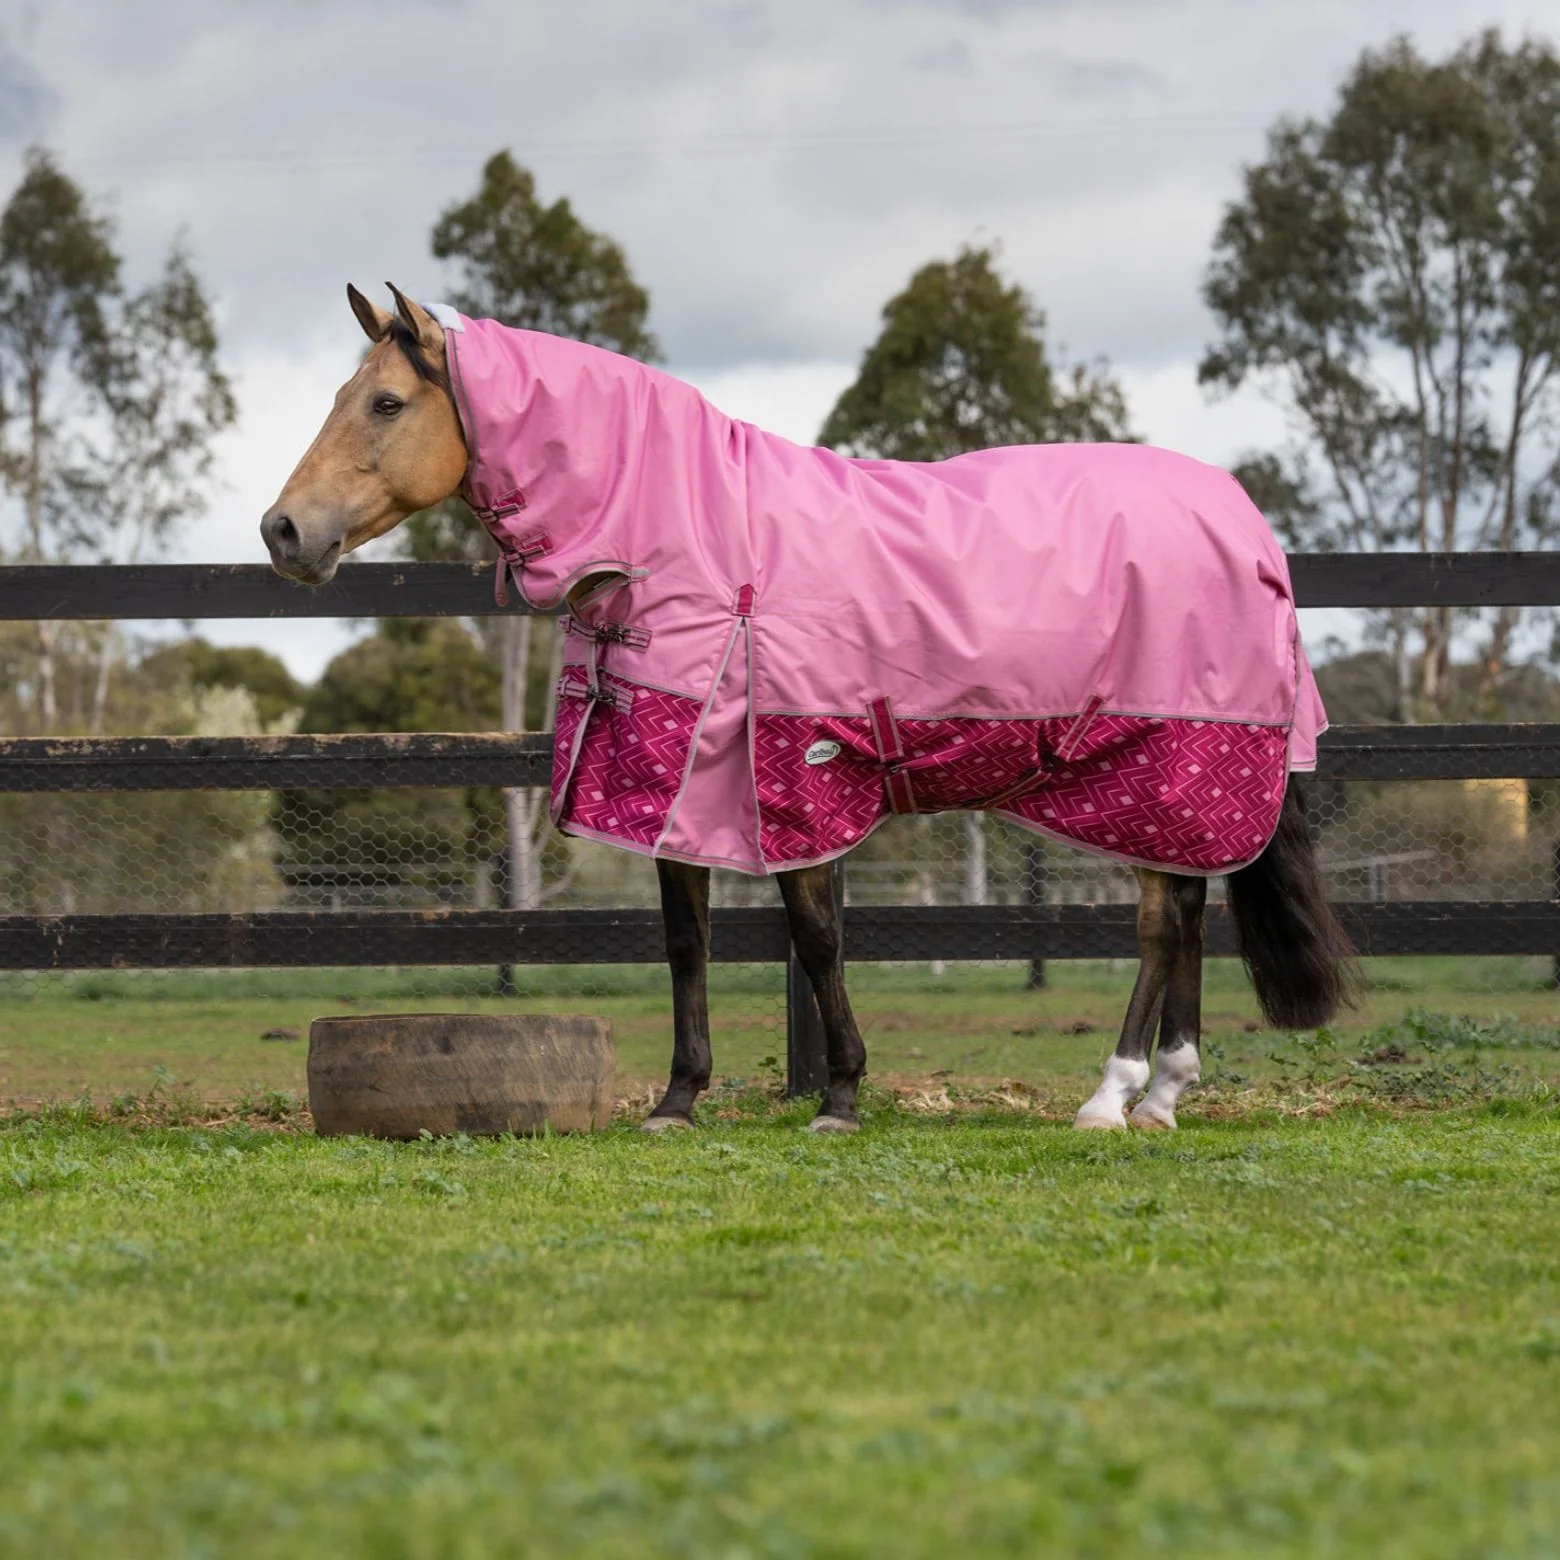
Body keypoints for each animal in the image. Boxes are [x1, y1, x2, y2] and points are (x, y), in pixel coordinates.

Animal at [262, 284, 1353, 1135]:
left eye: (387, 401)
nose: (282, 530)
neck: (701, 545)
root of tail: (1247, 524)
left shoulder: (794, 776)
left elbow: (817, 936)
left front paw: (841, 1097)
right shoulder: (673, 783)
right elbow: (686, 942)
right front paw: (678, 1100)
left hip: (1163, 764)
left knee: (1163, 928)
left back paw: (1110, 1097)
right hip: (1162, 788)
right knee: (1190, 912)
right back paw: (1163, 1095)